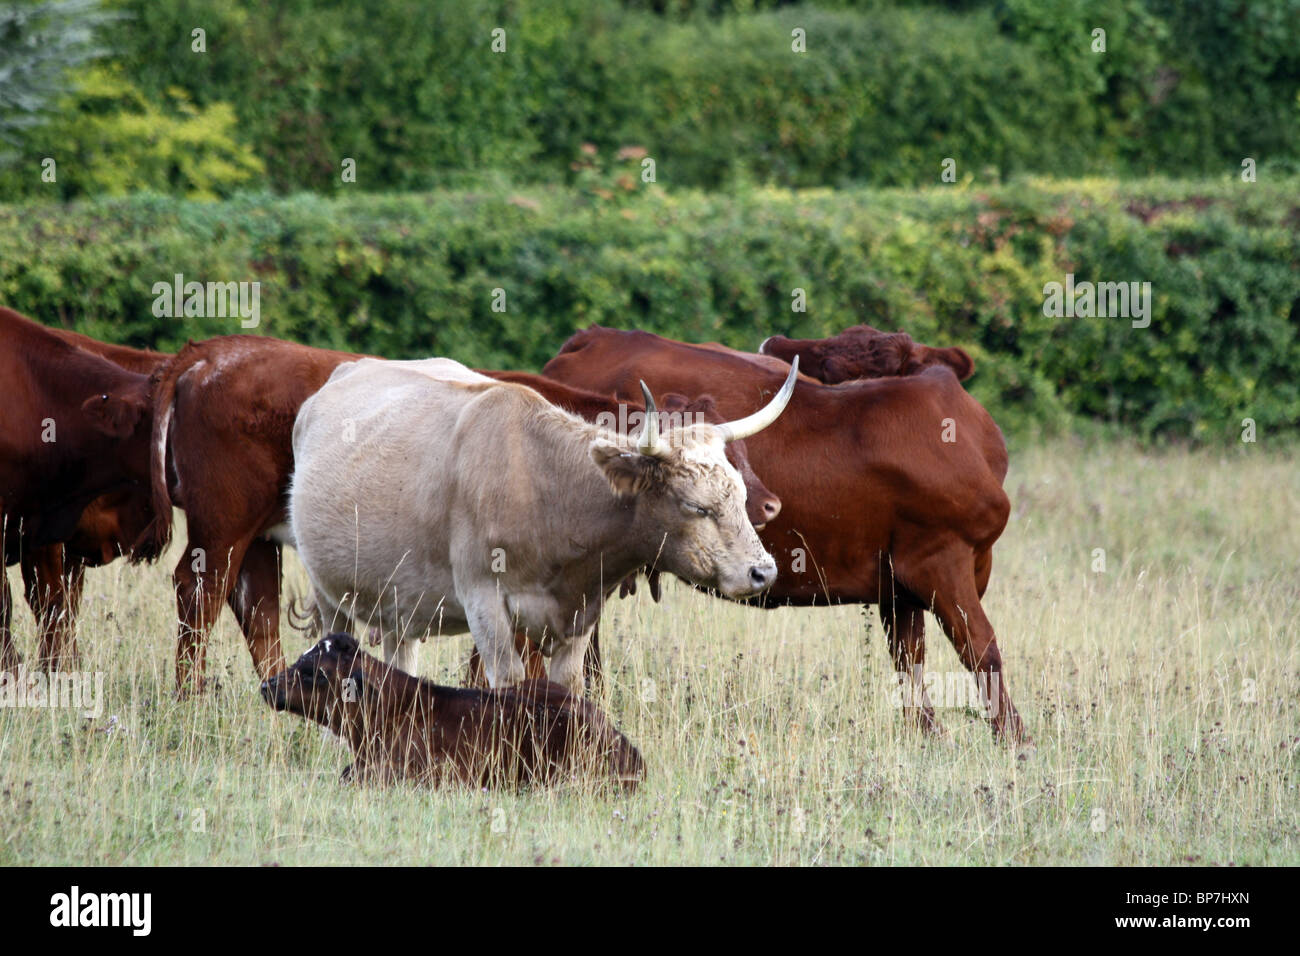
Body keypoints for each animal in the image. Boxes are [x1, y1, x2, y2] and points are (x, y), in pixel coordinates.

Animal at [144, 335, 783, 694]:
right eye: (696, 506)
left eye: (737, 495)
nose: (764, 572)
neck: (546, 487)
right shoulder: (486, 605)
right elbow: (506, 683)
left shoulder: (579, 617)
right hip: (306, 579)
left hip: (392, 599)